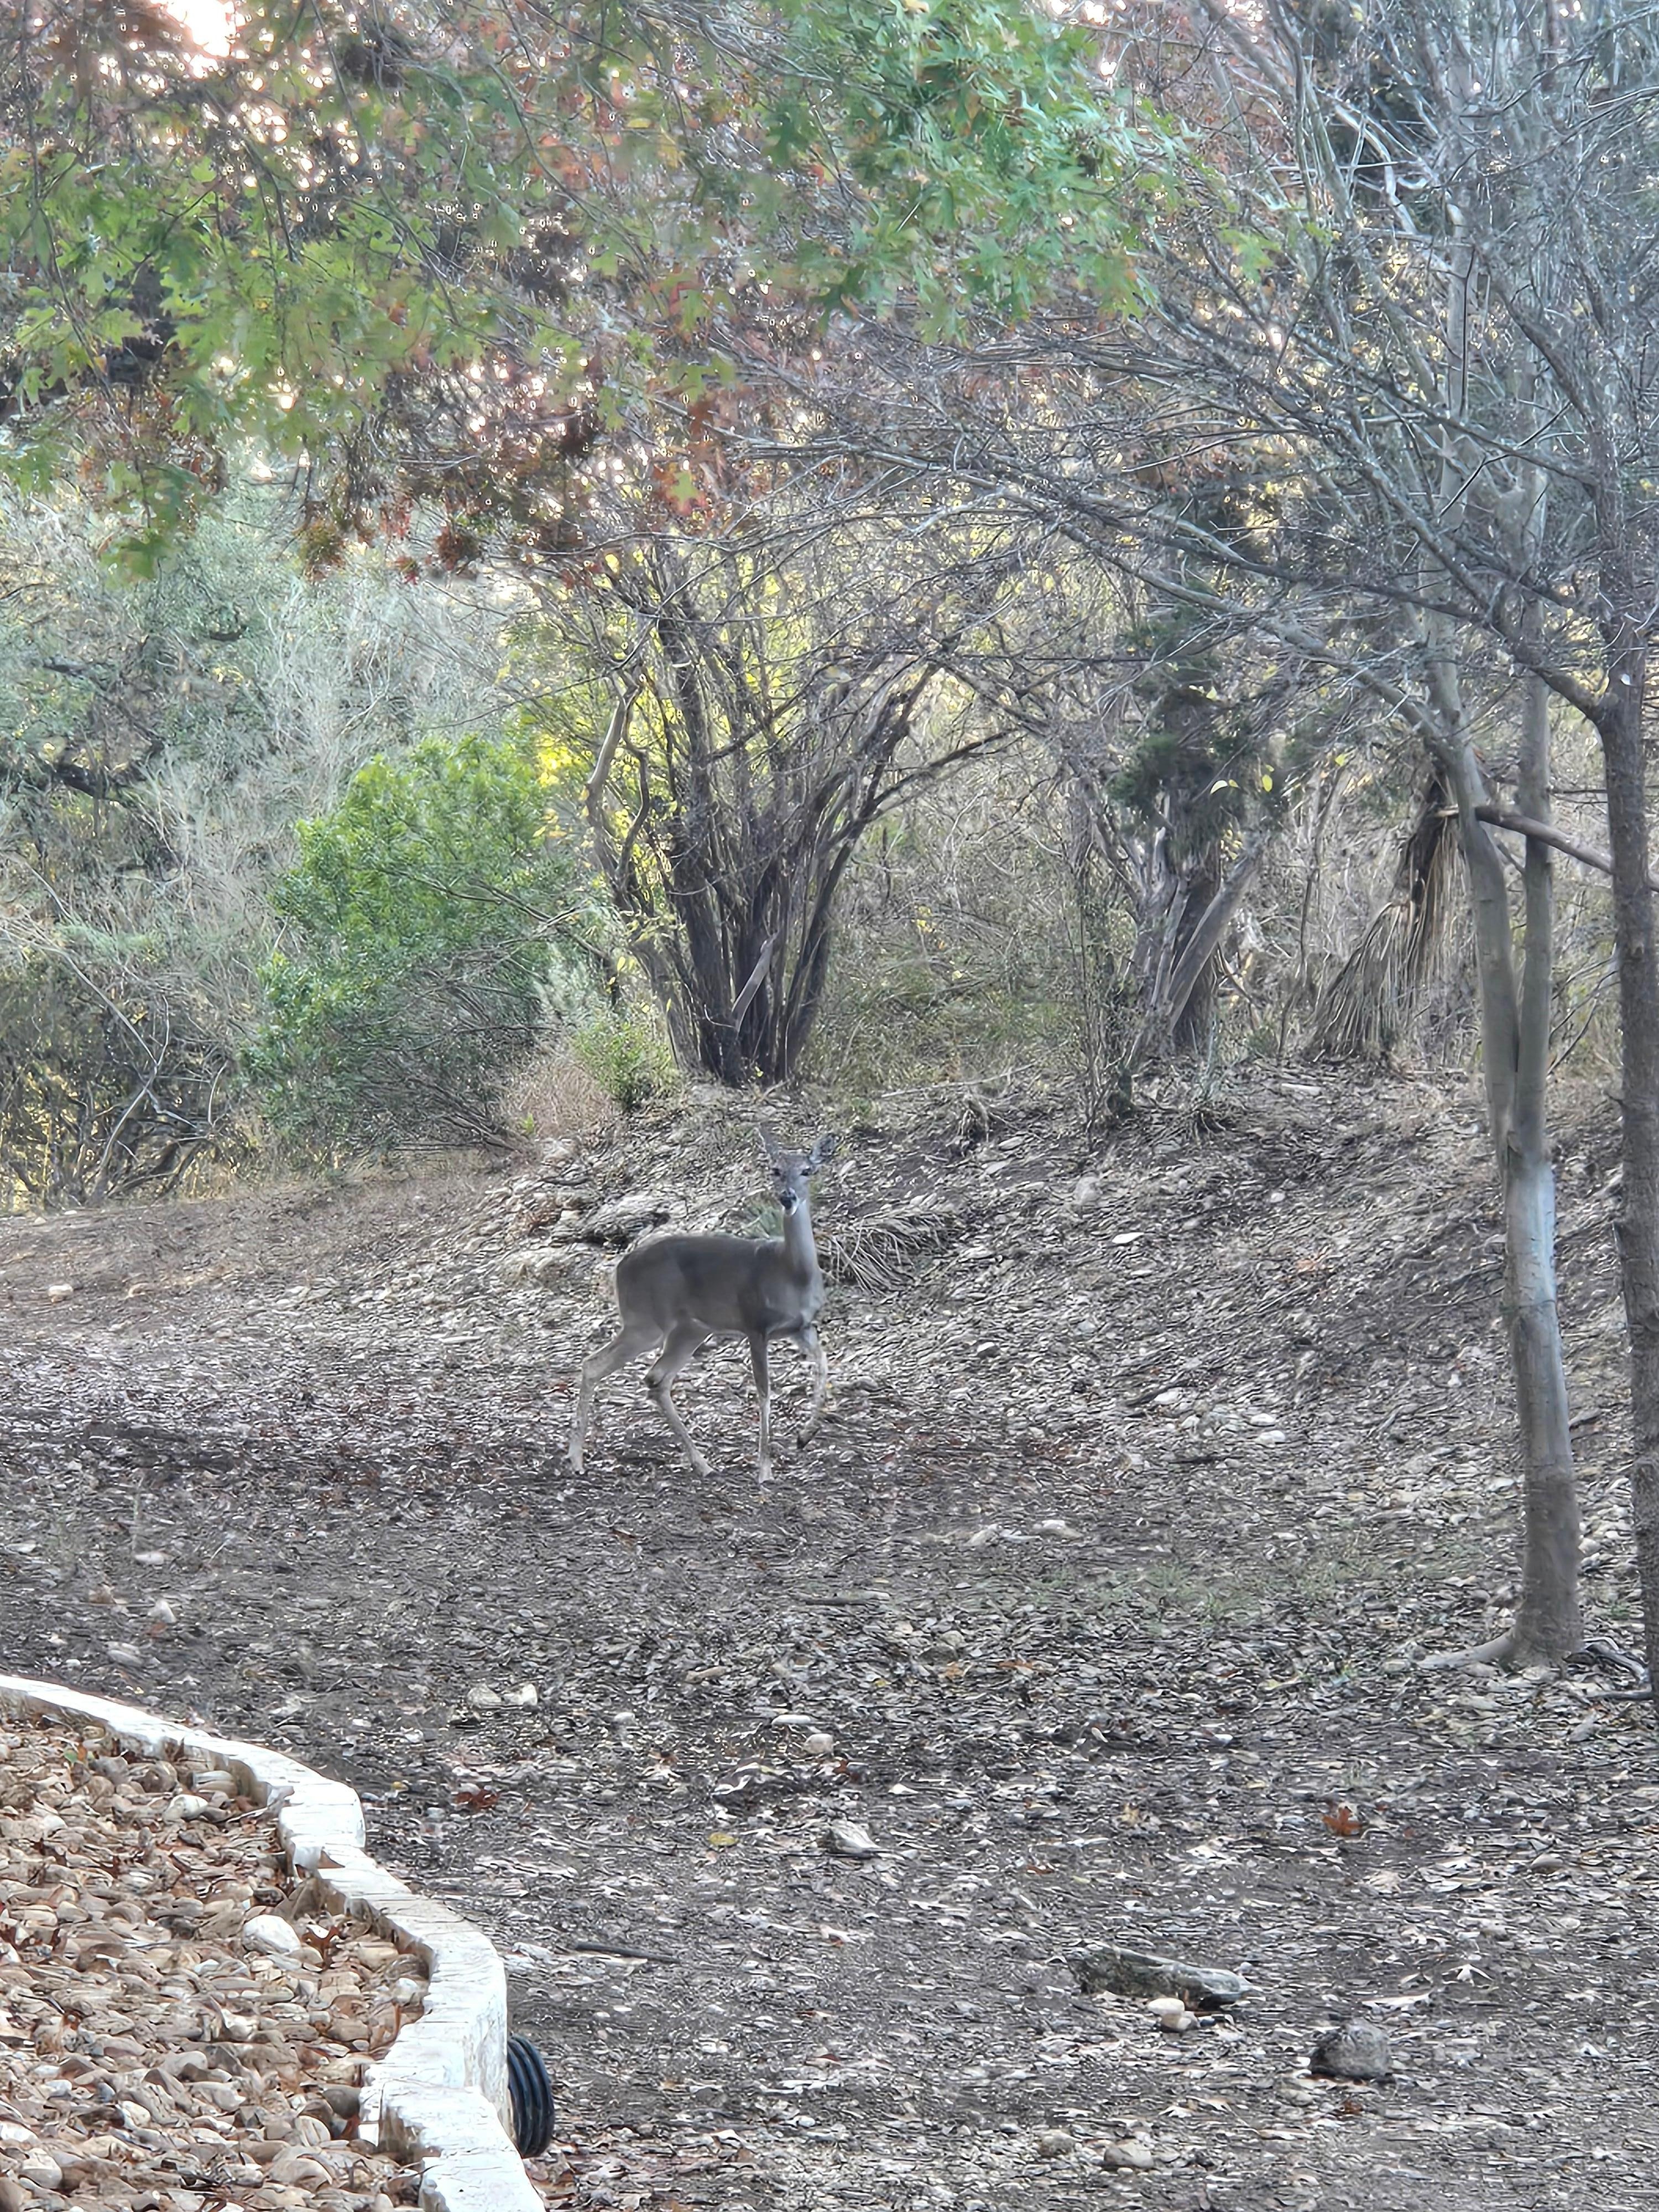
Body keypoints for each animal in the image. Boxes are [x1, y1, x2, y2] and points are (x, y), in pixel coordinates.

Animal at [568, 1132, 837, 1483]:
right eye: (775, 1170)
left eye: (807, 1170)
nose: (787, 1198)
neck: (792, 1273)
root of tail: (620, 1267)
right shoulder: (755, 1323)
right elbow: (764, 1392)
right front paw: (765, 1470)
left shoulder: (801, 1327)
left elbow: (824, 1365)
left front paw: (804, 1437)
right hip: (646, 1321)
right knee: (594, 1364)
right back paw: (576, 1459)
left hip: (690, 1330)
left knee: (656, 1379)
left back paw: (702, 1463)